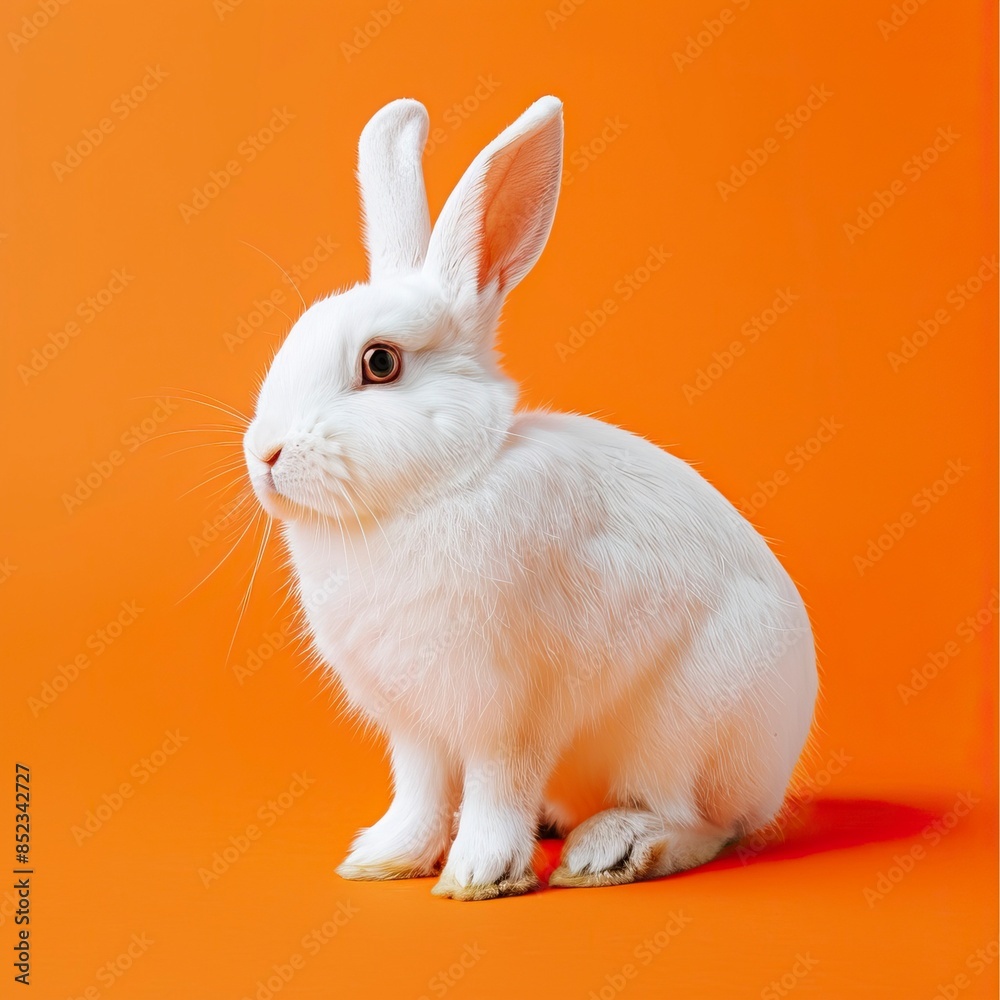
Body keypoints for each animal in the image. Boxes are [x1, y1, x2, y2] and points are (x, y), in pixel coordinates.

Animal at [242, 95, 818, 901]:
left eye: (380, 363)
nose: (264, 456)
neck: (436, 489)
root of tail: (776, 771)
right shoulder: (415, 725)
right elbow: (420, 792)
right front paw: (384, 858)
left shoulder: (509, 712)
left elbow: (496, 786)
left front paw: (478, 875)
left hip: (690, 727)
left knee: (700, 823)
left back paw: (609, 849)